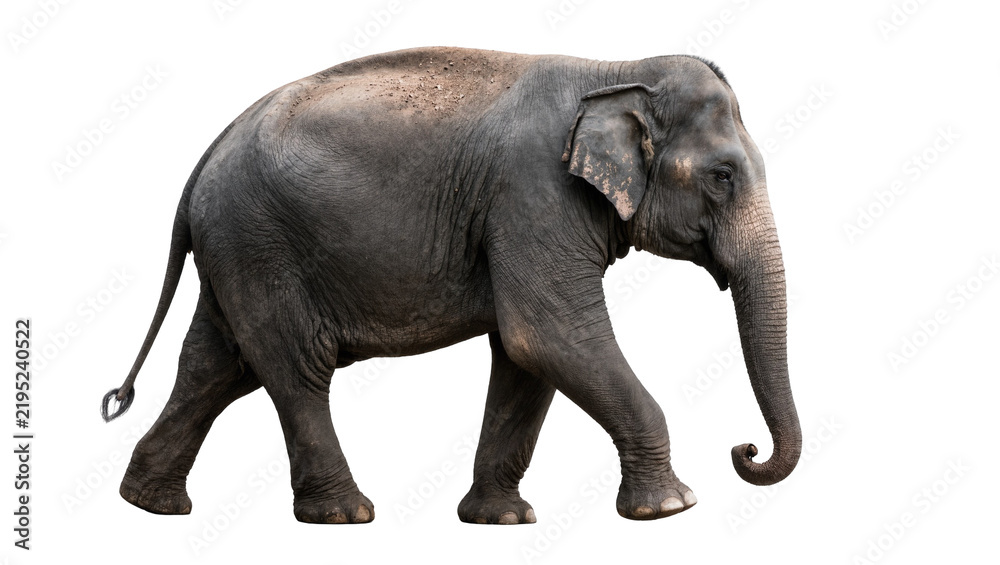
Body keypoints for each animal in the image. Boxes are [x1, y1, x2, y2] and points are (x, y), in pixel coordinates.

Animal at [101, 46, 801, 525]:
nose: (743, 448)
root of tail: (204, 158)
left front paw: (500, 520)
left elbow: (525, 359)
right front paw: (671, 508)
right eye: (722, 177)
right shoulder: (533, 196)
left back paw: (150, 504)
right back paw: (346, 515)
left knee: (217, 365)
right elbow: (546, 335)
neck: (614, 69)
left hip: (235, 248)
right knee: (294, 365)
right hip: (258, 241)